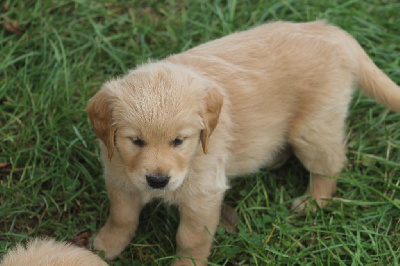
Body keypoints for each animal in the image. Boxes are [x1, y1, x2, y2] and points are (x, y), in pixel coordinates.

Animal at [86, 20, 398, 264]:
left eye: (179, 141)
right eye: (136, 141)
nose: (157, 181)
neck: (193, 157)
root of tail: (331, 31)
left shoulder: (203, 195)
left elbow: (191, 239)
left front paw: (186, 263)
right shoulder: (119, 176)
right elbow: (122, 216)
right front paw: (107, 245)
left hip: (312, 130)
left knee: (330, 165)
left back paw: (314, 201)